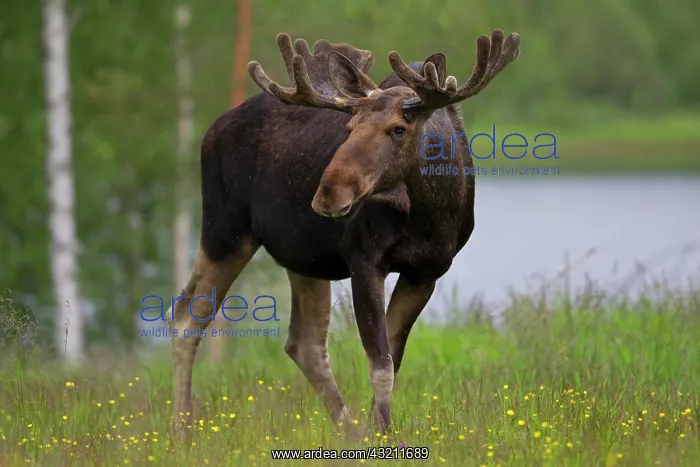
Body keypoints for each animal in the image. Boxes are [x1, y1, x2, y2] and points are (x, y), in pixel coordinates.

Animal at [169, 28, 520, 441]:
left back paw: (350, 431)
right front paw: (383, 435)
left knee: (303, 342)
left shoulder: (427, 271)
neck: (431, 212)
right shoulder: (364, 260)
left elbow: (392, 359)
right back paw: (181, 431)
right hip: (225, 231)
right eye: (348, 129)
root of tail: (210, 130)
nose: (328, 194)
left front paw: (378, 431)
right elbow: (380, 364)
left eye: (398, 129)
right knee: (187, 317)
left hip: (301, 256)